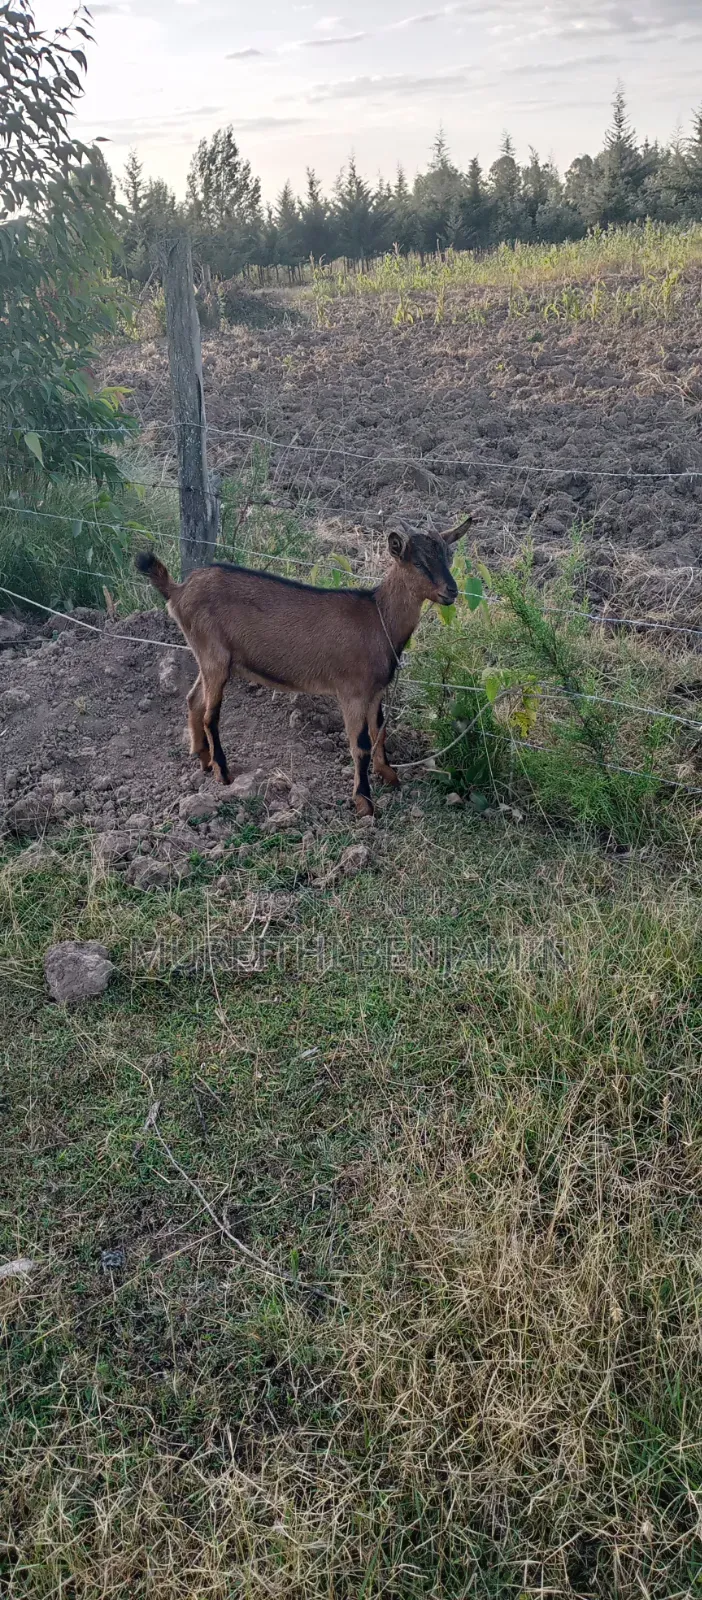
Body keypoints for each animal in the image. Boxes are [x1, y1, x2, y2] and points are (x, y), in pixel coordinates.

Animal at [135, 515, 471, 815]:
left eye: (448, 557)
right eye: (419, 563)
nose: (451, 591)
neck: (378, 618)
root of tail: (178, 591)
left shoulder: (375, 692)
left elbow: (381, 731)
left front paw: (388, 775)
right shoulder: (352, 692)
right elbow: (360, 744)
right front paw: (364, 802)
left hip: (210, 658)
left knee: (194, 699)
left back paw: (203, 760)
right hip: (213, 655)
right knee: (210, 714)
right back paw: (223, 772)